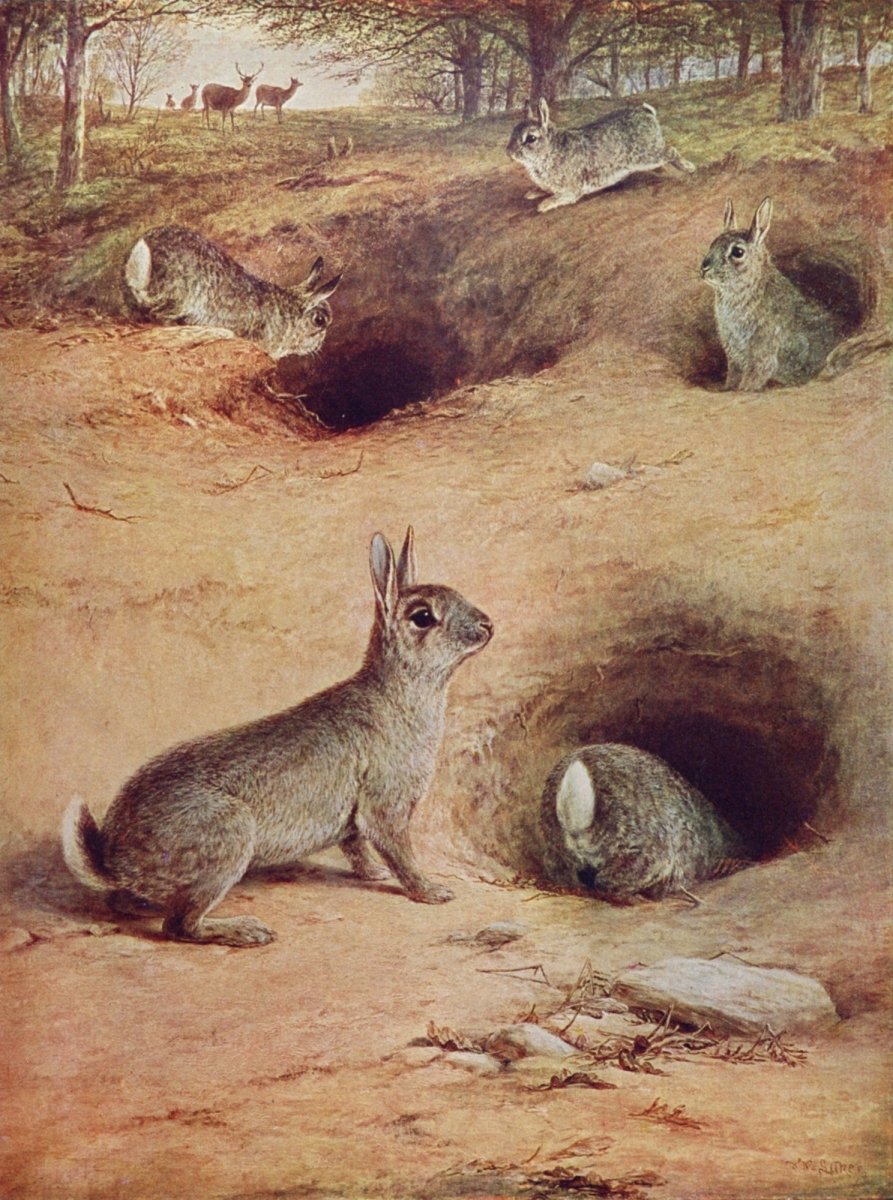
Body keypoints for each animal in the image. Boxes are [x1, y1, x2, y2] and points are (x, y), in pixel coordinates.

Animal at [61, 528, 493, 947]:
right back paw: (248, 931)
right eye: (423, 617)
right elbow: (399, 852)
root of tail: (115, 862)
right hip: (229, 838)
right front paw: (432, 891)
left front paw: (374, 875)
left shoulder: (355, 817)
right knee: (180, 925)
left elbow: (356, 846)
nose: (488, 625)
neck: (400, 691)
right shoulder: (385, 804)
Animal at [506, 98, 694, 214]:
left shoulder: (571, 190)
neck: (551, 150)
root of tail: (648, 113)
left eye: (531, 138)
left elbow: (562, 197)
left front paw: (543, 205)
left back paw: (689, 168)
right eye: (513, 131)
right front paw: (532, 193)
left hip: (644, 157)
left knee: (671, 151)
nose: (509, 153)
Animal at [700, 198, 843, 391]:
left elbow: (751, 381)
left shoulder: (761, 354)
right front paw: (726, 389)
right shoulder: (734, 356)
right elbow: (733, 378)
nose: (704, 268)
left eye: (738, 252)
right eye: (712, 244)